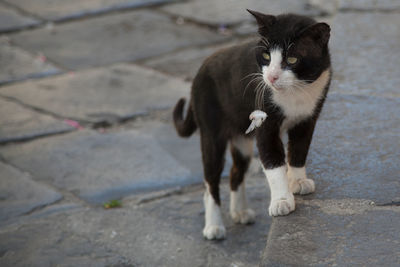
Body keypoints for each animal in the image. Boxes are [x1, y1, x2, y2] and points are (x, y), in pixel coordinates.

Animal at [172, 9, 332, 241]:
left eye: (292, 59)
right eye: (266, 56)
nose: (272, 77)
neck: (295, 93)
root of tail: (199, 71)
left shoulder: (308, 118)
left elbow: (299, 150)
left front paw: (298, 181)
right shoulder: (266, 124)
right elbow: (273, 161)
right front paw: (282, 201)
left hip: (241, 136)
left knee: (235, 170)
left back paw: (240, 212)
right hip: (211, 131)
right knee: (211, 181)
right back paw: (213, 226)